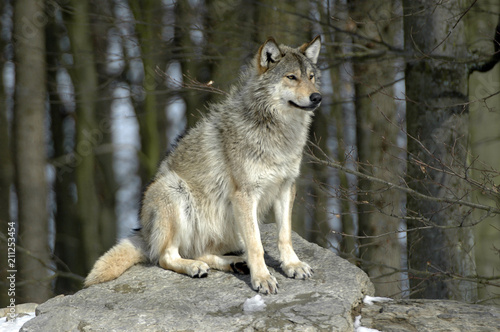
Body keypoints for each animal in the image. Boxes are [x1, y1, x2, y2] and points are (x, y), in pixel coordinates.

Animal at [84, 36, 322, 294]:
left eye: (311, 77)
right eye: (291, 77)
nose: (317, 97)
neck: (277, 132)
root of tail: (144, 233)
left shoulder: (286, 187)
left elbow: (284, 235)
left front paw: (292, 265)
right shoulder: (245, 195)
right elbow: (256, 244)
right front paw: (262, 278)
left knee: (201, 252)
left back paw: (235, 263)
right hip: (173, 191)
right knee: (165, 257)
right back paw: (195, 267)